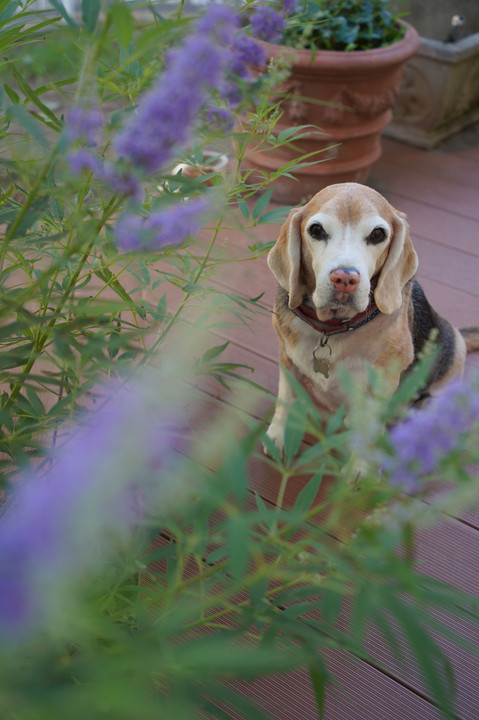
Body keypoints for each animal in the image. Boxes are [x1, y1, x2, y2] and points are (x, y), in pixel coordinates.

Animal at [266, 183, 479, 458]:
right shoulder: (286, 357)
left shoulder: (384, 382)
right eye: (316, 230)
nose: (345, 278)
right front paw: (278, 434)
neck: (331, 329)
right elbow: (285, 397)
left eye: (377, 234)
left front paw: (359, 464)